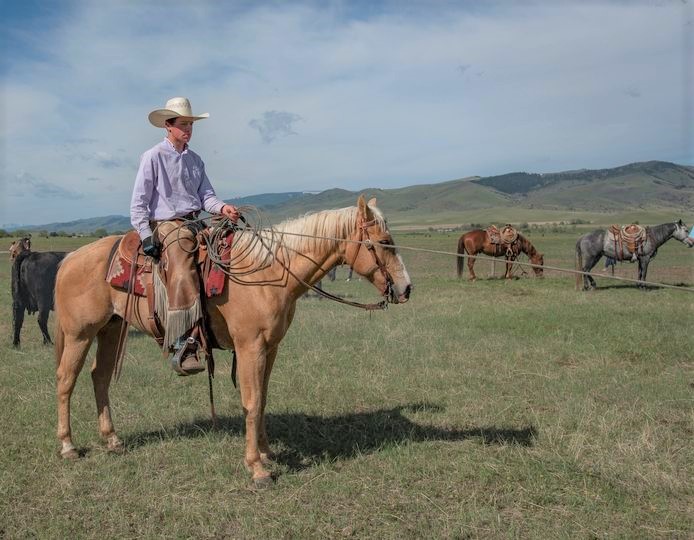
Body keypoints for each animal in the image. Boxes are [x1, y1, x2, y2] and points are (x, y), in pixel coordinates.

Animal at [55, 196, 414, 488]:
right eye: (384, 242)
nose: (406, 288)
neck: (267, 273)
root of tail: (69, 258)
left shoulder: (271, 348)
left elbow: (263, 399)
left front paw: (267, 452)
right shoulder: (249, 347)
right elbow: (251, 402)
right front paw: (257, 468)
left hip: (111, 329)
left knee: (99, 377)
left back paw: (112, 439)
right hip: (80, 334)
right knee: (66, 380)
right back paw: (68, 445)